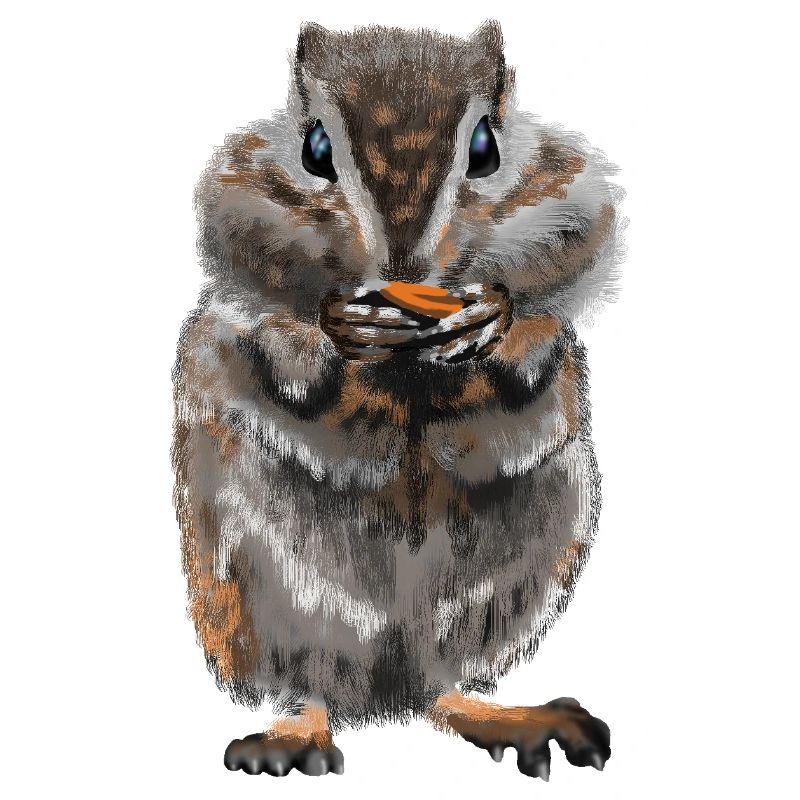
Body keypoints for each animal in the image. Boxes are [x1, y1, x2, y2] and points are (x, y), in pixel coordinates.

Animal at [172, 20, 624, 779]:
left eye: (485, 148)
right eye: (315, 149)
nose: (405, 264)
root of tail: (387, 688)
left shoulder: (568, 190)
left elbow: (577, 248)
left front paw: (490, 318)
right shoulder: (240, 195)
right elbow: (249, 252)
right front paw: (337, 325)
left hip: (528, 561)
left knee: (445, 689)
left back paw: (512, 716)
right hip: (256, 589)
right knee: (312, 683)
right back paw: (298, 734)